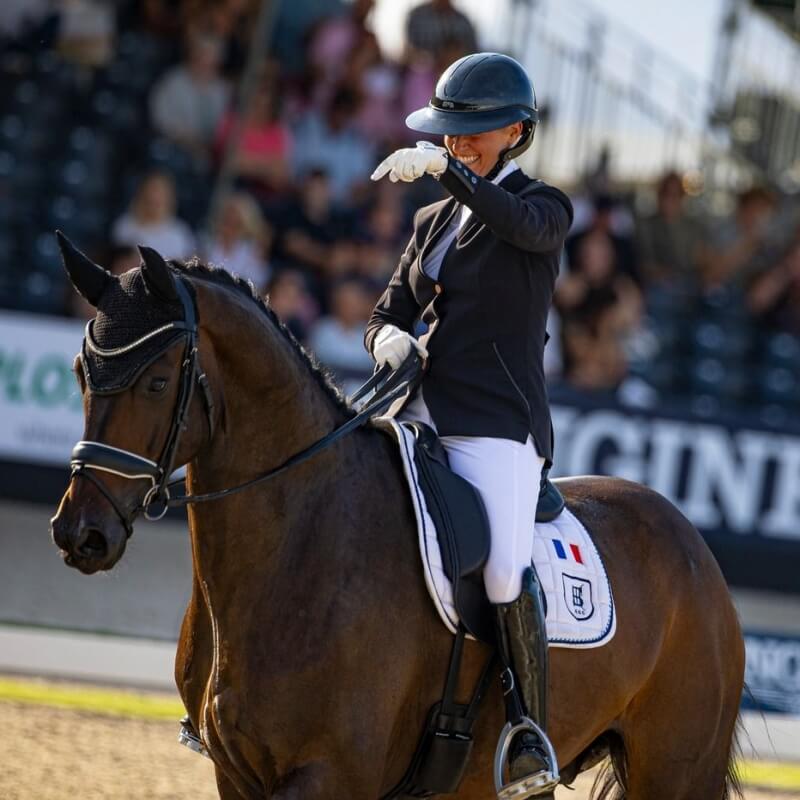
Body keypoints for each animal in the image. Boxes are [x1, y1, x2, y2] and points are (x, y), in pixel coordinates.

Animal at [50, 237, 745, 800]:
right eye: (83, 371)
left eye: (156, 382)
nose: (80, 534)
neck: (298, 540)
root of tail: (693, 545)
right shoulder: (236, 775)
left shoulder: (330, 775)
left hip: (677, 770)